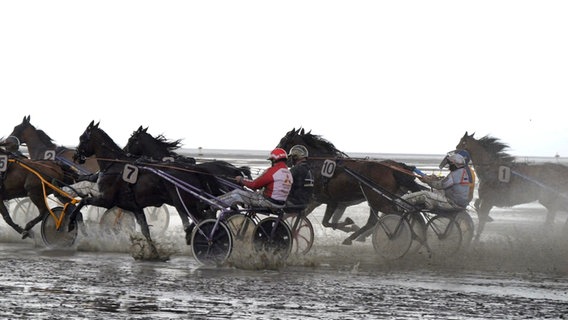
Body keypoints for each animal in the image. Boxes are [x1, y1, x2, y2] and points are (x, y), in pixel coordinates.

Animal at [70, 121, 223, 258]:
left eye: (81, 138)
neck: (114, 165)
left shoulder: (106, 200)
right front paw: (153, 253)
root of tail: (194, 170)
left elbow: (83, 201)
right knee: (206, 217)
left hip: (184, 203)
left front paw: (71, 223)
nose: (75, 156)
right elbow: (145, 230)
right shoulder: (135, 207)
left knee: (204, 219)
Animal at [278, 126, 424, 244]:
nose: (277, 155)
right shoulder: (322, 201)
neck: (319, 164)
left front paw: (349, 224)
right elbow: (315, 218)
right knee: (379, 219)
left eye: (283, 140)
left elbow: (326, 222)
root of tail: (394, 168)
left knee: (399, 214)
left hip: (378, 200)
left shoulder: (328, 200)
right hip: (377, 199)